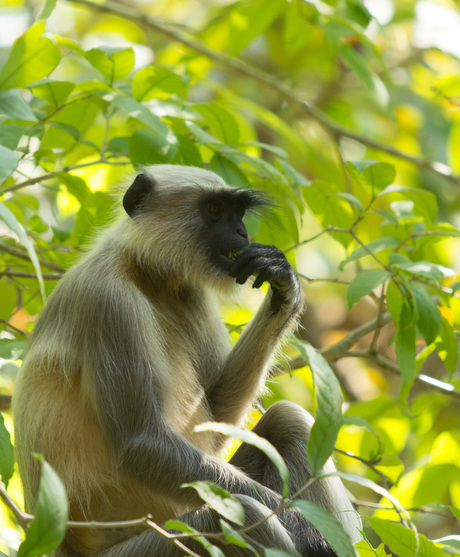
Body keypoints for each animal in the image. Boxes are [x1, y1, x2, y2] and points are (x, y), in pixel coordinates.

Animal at [12, 165, 362, 556]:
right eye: (215, 210)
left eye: (238, 213)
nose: (241, 233)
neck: (146, 273)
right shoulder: (108, 300)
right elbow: (141, 445)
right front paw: (305, 528)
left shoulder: (191, 294)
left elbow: (216, 411)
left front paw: (284, 288)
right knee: (234, 514)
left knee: (288, 420)